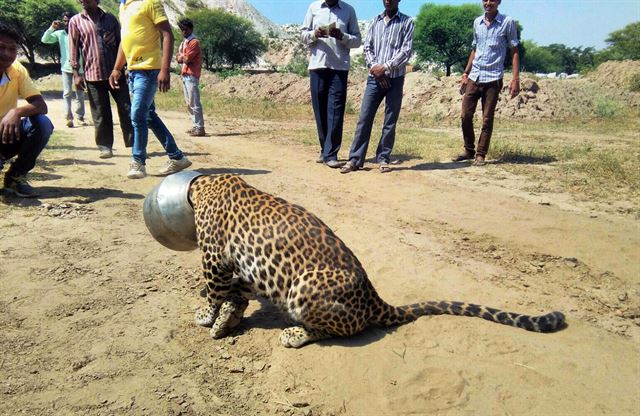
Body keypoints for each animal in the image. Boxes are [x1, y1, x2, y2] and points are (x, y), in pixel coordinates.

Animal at [186, 173, 564, 348]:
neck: (205, 184)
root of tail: (373, 298)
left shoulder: (213, 257)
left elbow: (214, 290)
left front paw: (207, 314)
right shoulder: (240, 266)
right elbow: (234, 291)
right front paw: (226, 314)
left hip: (305, 285)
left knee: (336, 329)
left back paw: (294, 333)